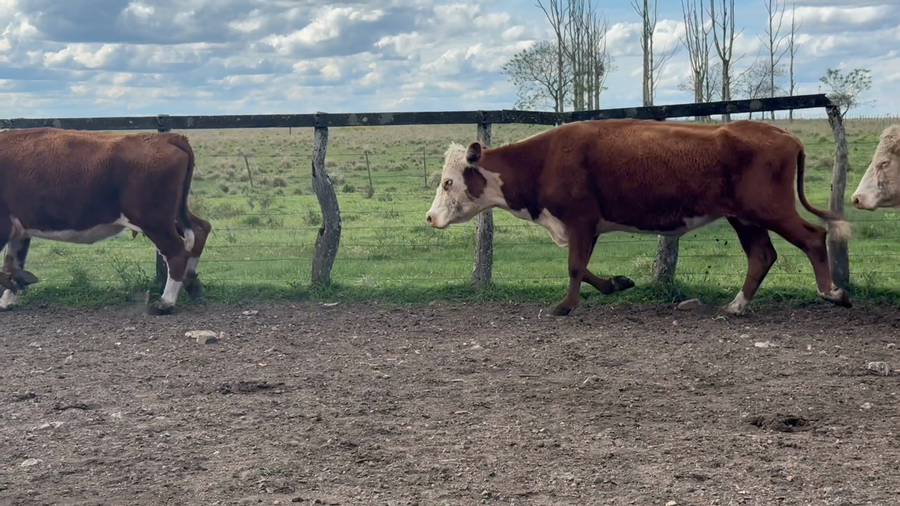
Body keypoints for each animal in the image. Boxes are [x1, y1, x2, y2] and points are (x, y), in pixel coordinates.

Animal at [0, 127, 212, 315]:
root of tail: (168, 138)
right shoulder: (19, 230)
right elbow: (13, 262)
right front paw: (8, 299)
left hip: (154, 221)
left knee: (177, 252)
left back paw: (165, 303)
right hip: (174, 215)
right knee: (200, 230)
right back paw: (191, 283)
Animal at [425, 118, 853, 316]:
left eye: (448, 181)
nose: (430, 217)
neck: (544, 159)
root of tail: (784, 135)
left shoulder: (580, 220)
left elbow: (575, 267)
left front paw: (565, 306)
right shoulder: (589, 226)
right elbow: (586, 268)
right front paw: (618, 283)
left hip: (768, 210)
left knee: (812, 237)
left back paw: (833, 292)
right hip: (745, 218)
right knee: (762, 256)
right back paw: (735, 306)